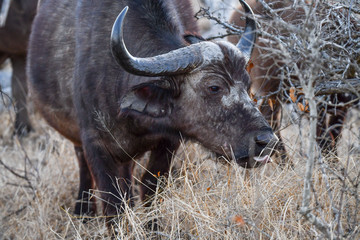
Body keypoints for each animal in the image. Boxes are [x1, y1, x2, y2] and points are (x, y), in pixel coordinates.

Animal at [28, 0, 278, 221]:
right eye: (214, 87)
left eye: (247, 84)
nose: (266, 141)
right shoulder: (96, 146)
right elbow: (113, 205)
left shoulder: (168, 142)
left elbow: (150, 189)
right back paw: (84, 214)